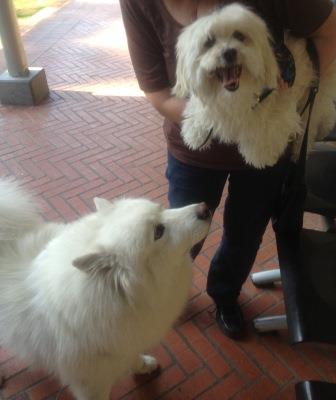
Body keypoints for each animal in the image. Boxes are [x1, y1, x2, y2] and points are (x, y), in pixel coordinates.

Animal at [0, 180, 210, 400]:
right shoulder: (90, 386)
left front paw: (143, 366)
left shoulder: (128, 342)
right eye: (158, 232)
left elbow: (134, 356)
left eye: (162, 209)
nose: (205, 208)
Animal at [173, 1, 336, 167]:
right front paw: (195, 133)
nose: (229, 52)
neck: (234, 96)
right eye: (209, 42)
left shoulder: (281, 108)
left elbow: (265, 133)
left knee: (312, 124)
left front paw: (259, 155)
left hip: (315, 95)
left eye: (239, 35)